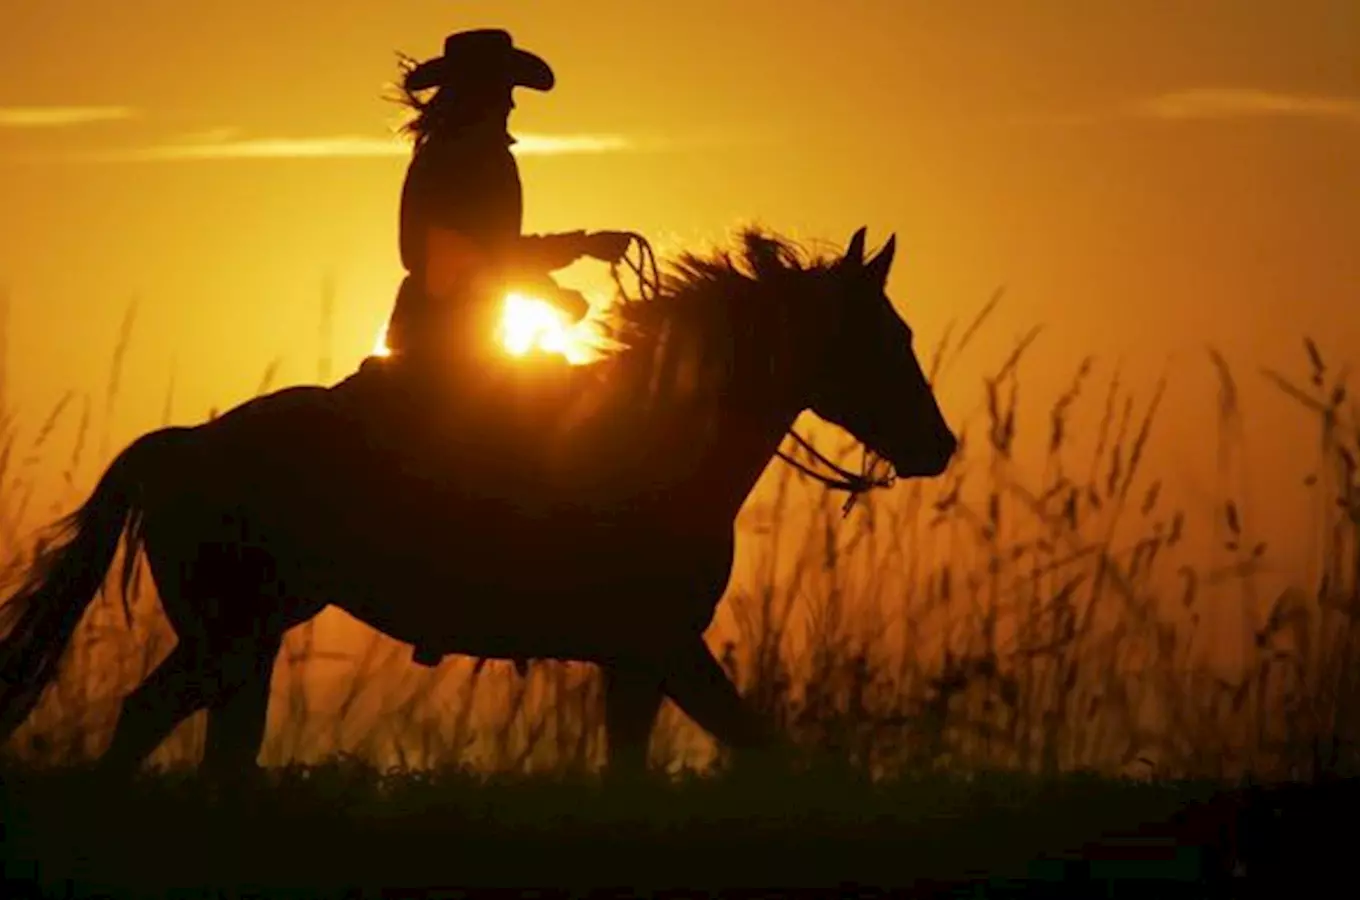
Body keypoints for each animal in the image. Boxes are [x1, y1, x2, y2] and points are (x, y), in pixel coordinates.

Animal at [0, 224, 957, 777]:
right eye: (886, 335)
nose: (939, 447)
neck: (662, 443)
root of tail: (182, 445)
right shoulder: (660, 648)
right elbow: (748, 749)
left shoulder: (640, 659)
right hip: (231, 635)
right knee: (158, 721)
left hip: (245, 639)